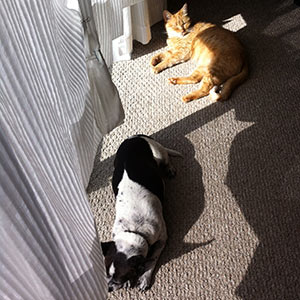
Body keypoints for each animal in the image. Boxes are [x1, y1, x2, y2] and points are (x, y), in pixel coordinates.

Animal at [101, 135, 180, 290]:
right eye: (106, 273)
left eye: (119, 279)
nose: (109, 288)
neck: (134, 229)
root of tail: (136, 137)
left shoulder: (162, 240)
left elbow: (151, 260)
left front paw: (144, 278)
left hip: (159, 153)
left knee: (166, 158)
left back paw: (170, 169)